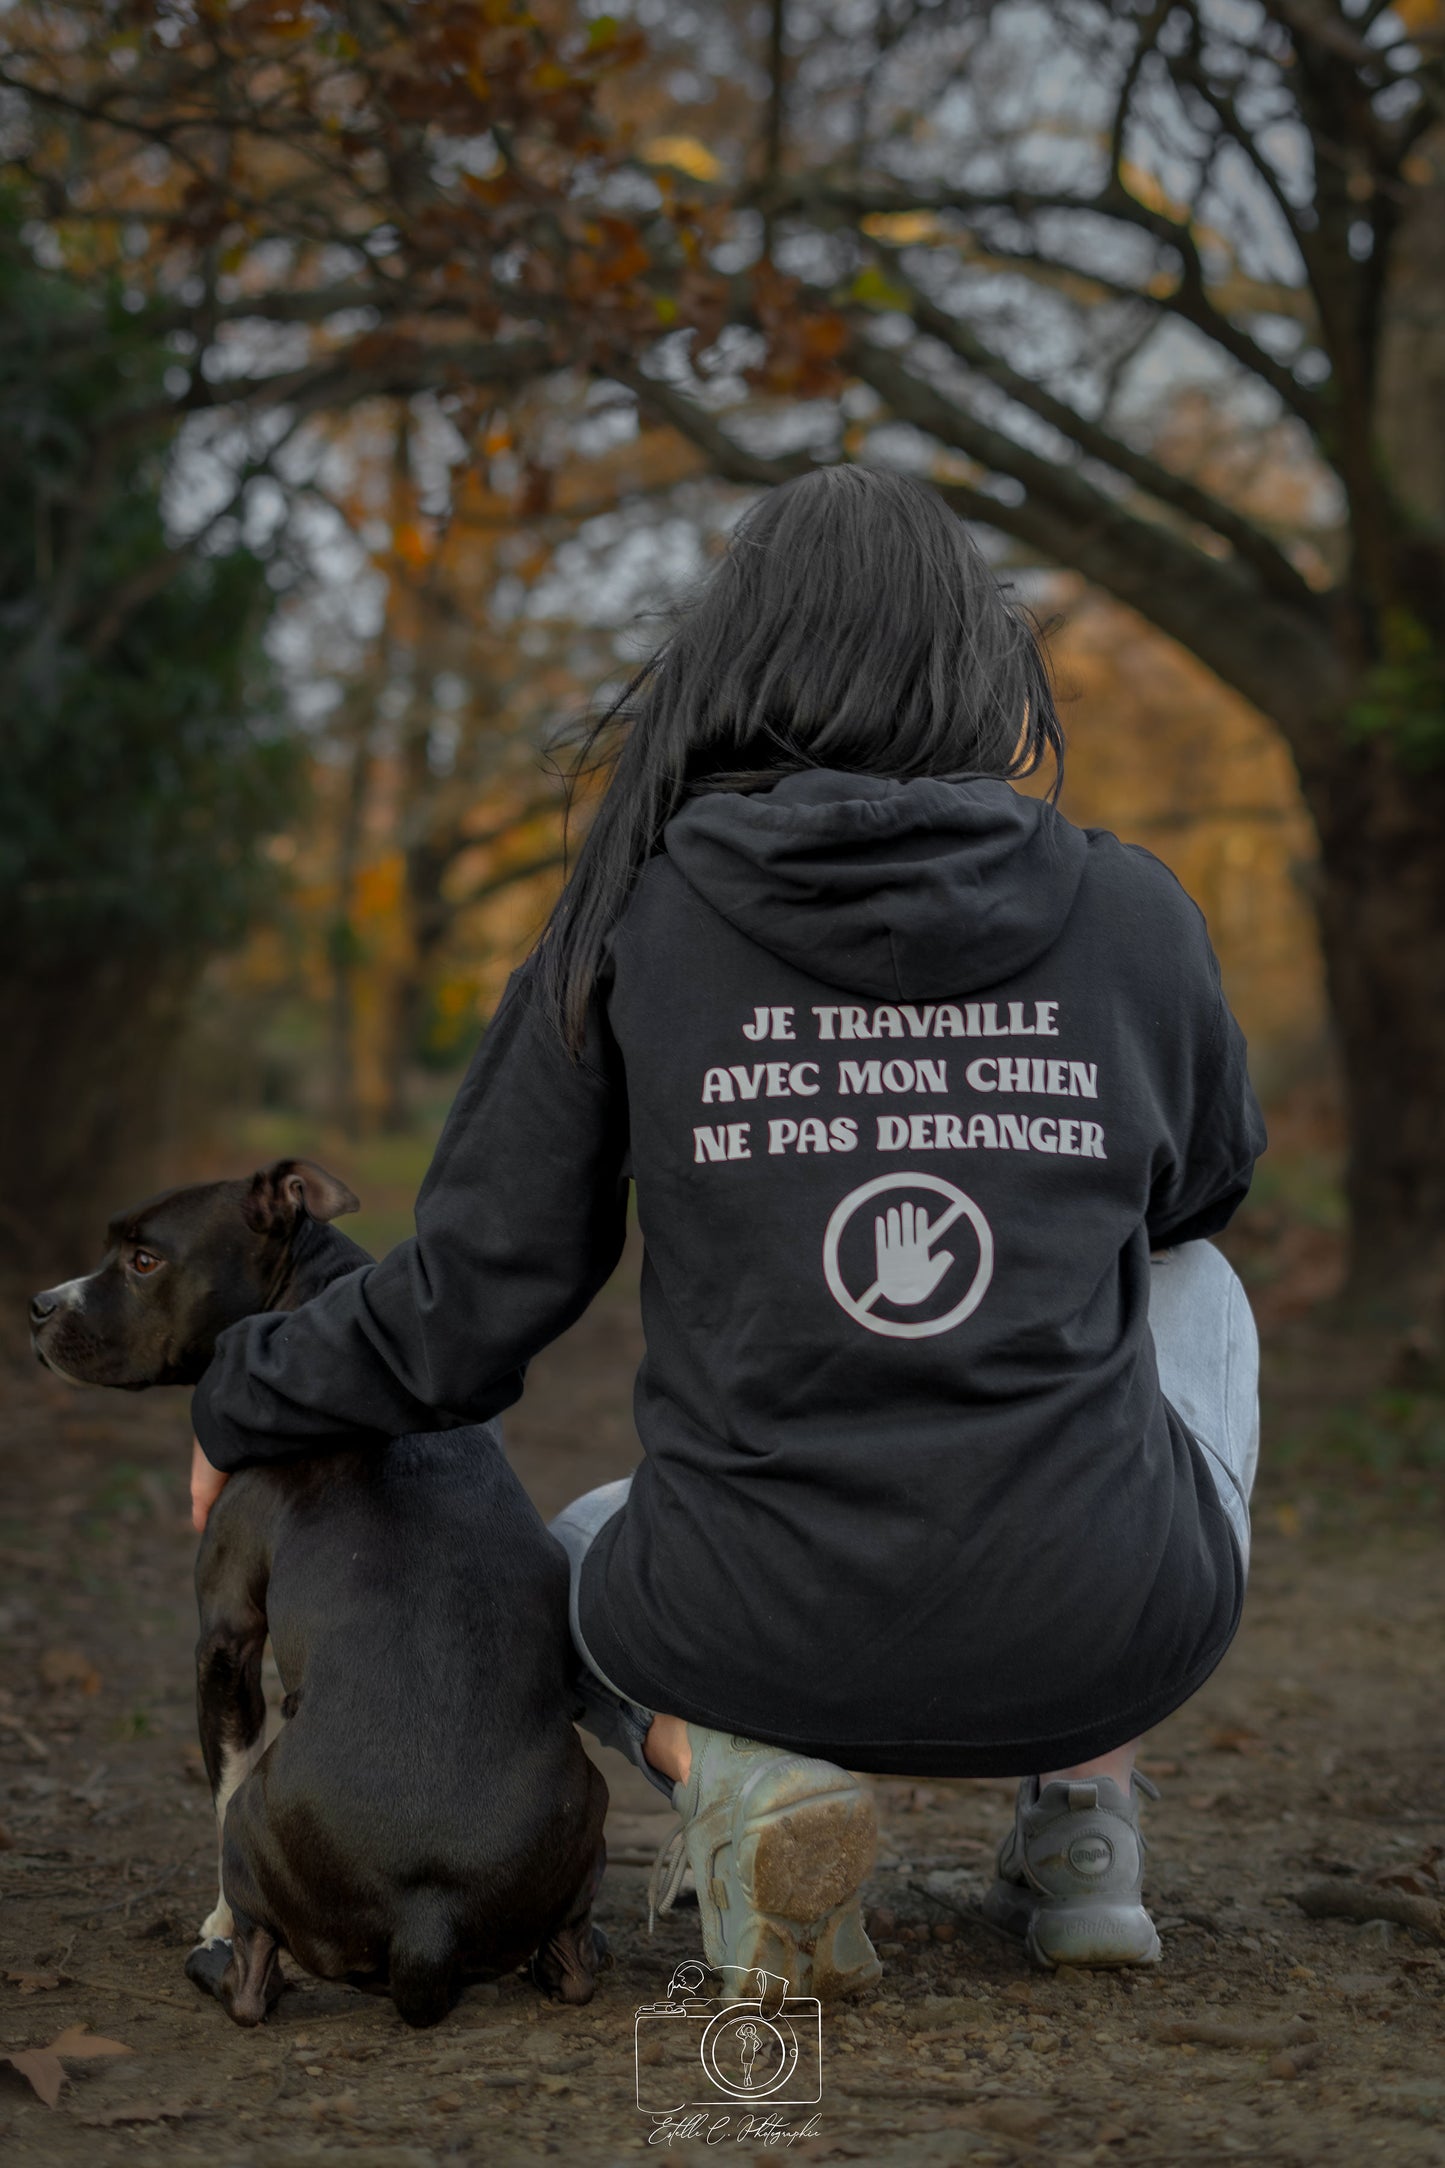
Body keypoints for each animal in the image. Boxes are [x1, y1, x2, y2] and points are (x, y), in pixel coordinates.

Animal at [29, 1162, 606, 2020]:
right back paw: (572, 1953)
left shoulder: (224, 1639)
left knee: (251, 1980)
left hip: (260, 1832)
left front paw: (215, 1919)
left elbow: (223, 1777)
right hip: (588, 1805)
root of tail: (427, 1915)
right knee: (571, 1966)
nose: (38, 1305)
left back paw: (217, 1962)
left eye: (143, 1260)